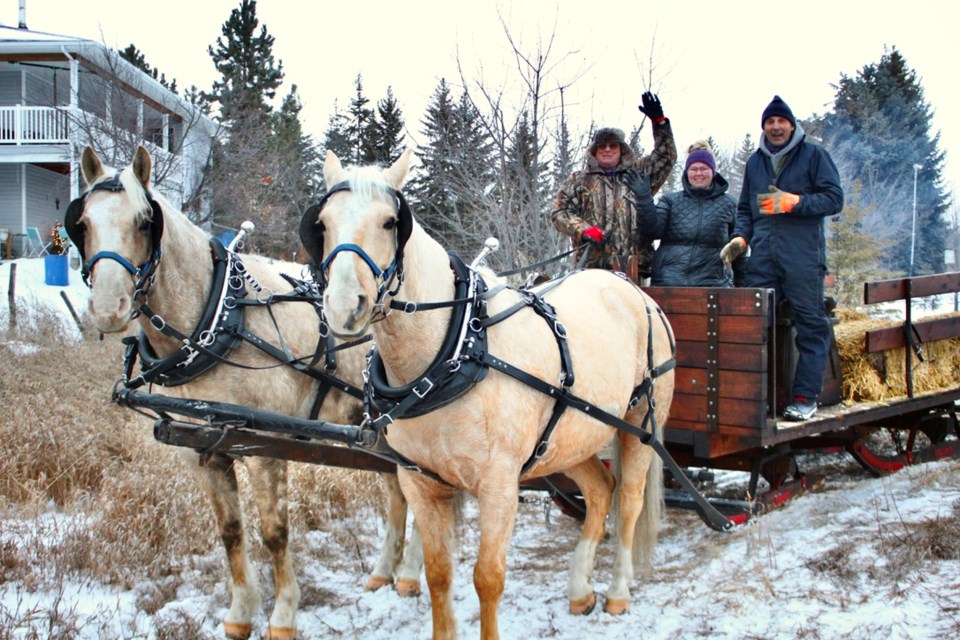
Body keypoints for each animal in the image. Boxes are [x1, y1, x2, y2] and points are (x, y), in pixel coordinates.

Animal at [67, 146, 424, 640]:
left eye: (144, 221)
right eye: (82, 223)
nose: (108, 308)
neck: (219, 317)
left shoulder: (262, 447)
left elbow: (274, 533)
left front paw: (283, 615)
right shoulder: (205, 449)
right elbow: (231, 532)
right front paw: (239, 613)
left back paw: (408, 574)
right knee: (395, 489)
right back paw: (384, 570)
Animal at [306, 148, 676, 636]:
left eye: (390, 222)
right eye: (323, 223)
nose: (345, 307)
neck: (457, 349)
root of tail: (631, 287)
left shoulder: (499, 484)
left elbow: (487, 578)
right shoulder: (420, 482)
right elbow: (438, 574)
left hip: (639, 425)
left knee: (628, 501)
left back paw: (617, 592)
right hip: (571, 438)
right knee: (600, 491)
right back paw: (580, 591)